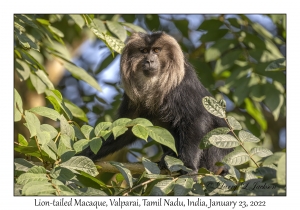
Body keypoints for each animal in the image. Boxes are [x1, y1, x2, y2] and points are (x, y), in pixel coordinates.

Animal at [84, 31, 232, 175]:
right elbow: (127, 127)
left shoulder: (181, 85)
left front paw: (189, 166)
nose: (149, 60)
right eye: (143, 51)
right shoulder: (131, 98)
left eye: (156, 50)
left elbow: (197, 118)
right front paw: (84, 154)